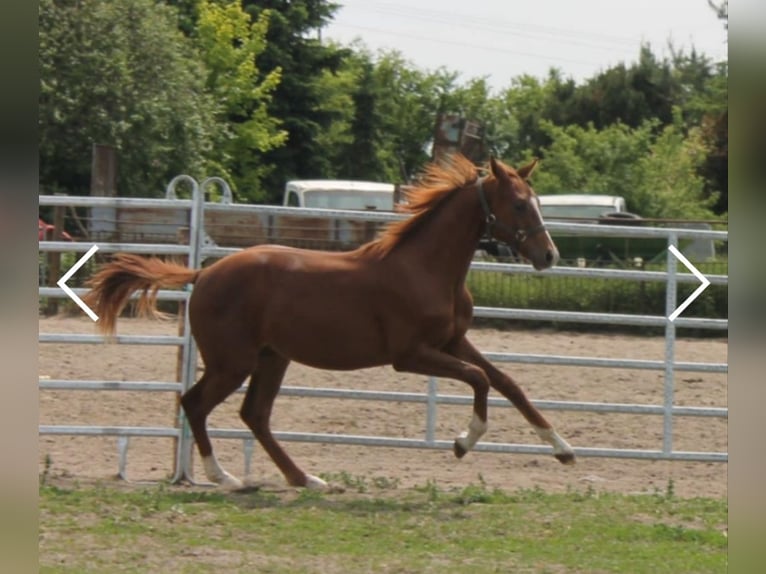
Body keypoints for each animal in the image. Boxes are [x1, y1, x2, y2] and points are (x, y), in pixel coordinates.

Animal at [84, 154, 575, 491]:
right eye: (519, 205)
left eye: (535, 201)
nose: (549, 255)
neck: (425, 268)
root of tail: (203, 274)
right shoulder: (411, 355)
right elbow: (479, 379)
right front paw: (462, 442)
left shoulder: (453, 341)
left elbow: (508, 382)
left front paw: (563, 449)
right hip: (232, 362)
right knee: (195, 403)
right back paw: (225, 477)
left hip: (272, 358)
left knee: (254, 414)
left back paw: (306, 479)